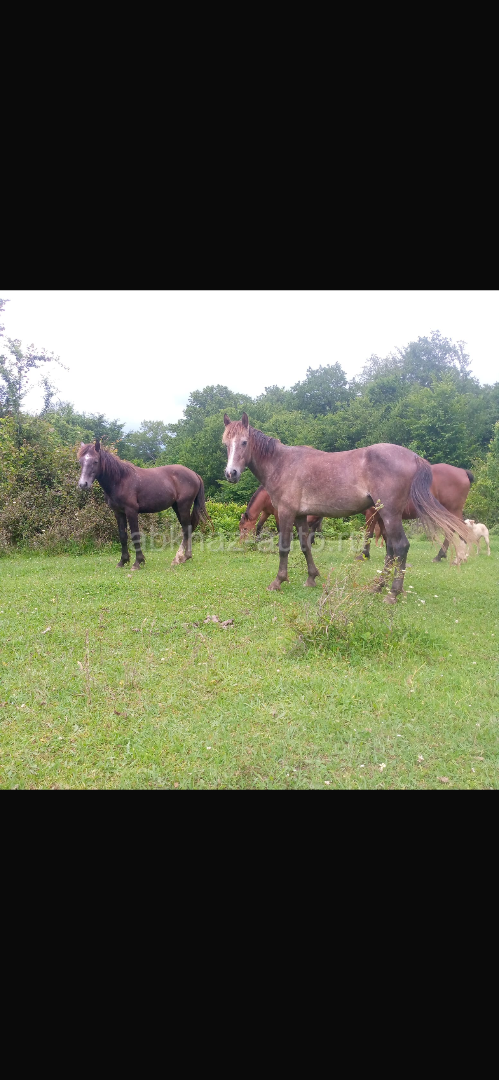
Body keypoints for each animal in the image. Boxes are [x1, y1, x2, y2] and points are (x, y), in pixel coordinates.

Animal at [78, 440, 209, 569]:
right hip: (176, 507)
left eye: (95, 461)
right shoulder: (118, 512)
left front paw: (138, 562)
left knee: (186, 529)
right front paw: (123, 561)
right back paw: (183, 557)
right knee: (187, 529)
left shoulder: (131, 511)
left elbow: (135, 535)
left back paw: (179, 558)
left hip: (183, 506)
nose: (83, 484)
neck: (120, 480)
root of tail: (194, 474)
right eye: (81, 462)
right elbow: (123, 536)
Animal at [222, 414, 473, 602]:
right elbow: (305, 545)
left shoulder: (285, 512)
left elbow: (284, 547)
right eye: (225, 444)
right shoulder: (301, 515)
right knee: (392, 549)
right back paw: (378, 587)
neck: (282, 463)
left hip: (391, 513)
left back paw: (392, 593)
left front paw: (278, 581)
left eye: (244, 442)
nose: (230, 473)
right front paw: (311, 577)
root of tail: (414, 457)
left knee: (401, 547)